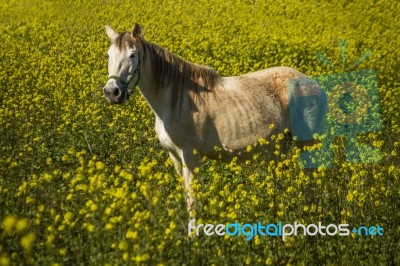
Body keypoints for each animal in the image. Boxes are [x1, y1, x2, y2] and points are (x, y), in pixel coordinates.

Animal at [103, 23, 328, 216]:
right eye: (109, 55)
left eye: (133, 55)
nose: (112, 92)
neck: (176, 99)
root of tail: (312, 83)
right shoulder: (174, 156)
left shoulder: (190, 156)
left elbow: (192, 200)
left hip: (308, 146)